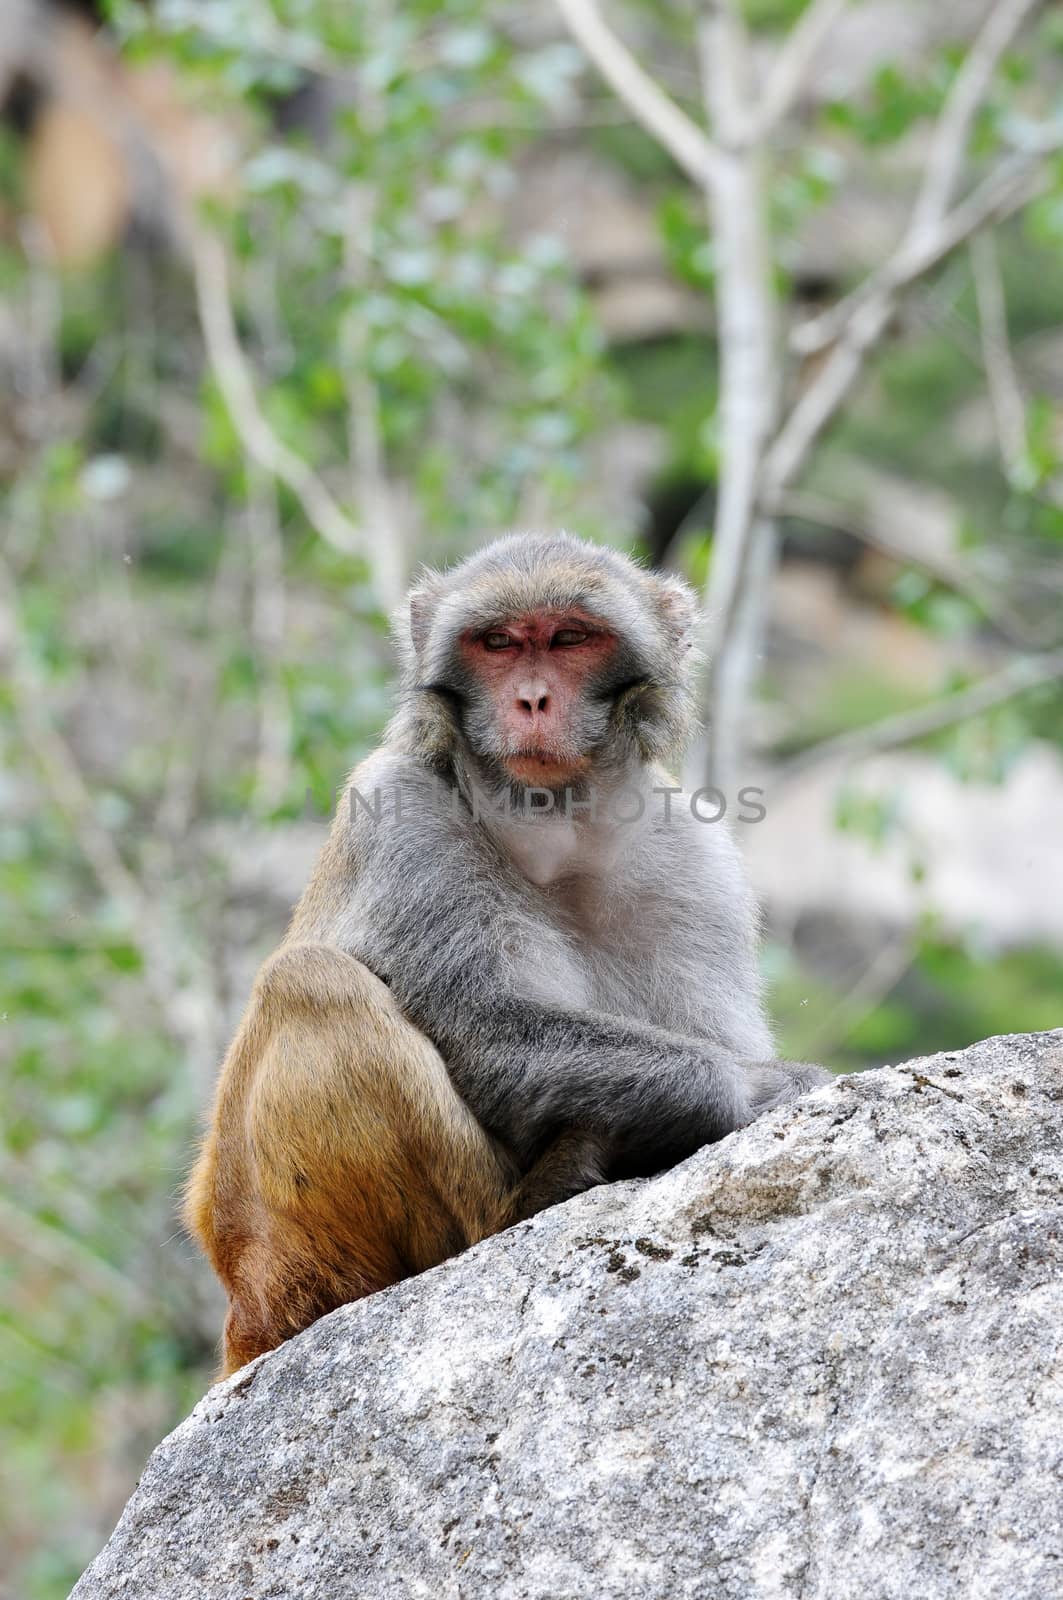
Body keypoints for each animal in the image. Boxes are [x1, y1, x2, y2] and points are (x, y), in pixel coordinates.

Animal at [184, 531, 832, 1369]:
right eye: (496, 643)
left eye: (568, 638)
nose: (530, 700)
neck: (553, 834)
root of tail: (242, 1303)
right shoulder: (400, 813)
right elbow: (480, 1026)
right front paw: (751, 1088)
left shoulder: (692, 859)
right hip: (299, 1253)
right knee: (314, 982)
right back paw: (532, 1200)